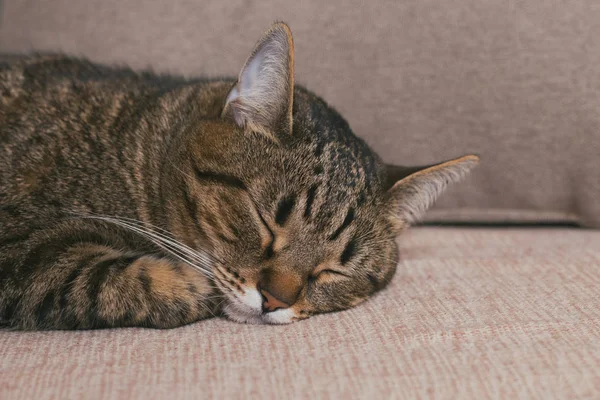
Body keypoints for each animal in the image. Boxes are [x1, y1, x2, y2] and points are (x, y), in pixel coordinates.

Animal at [0, 21, 478, 330]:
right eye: (266, 223)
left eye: (334, 270)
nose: (275, 300)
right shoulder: (20, 248)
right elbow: (113, 281)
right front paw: (189, 282)